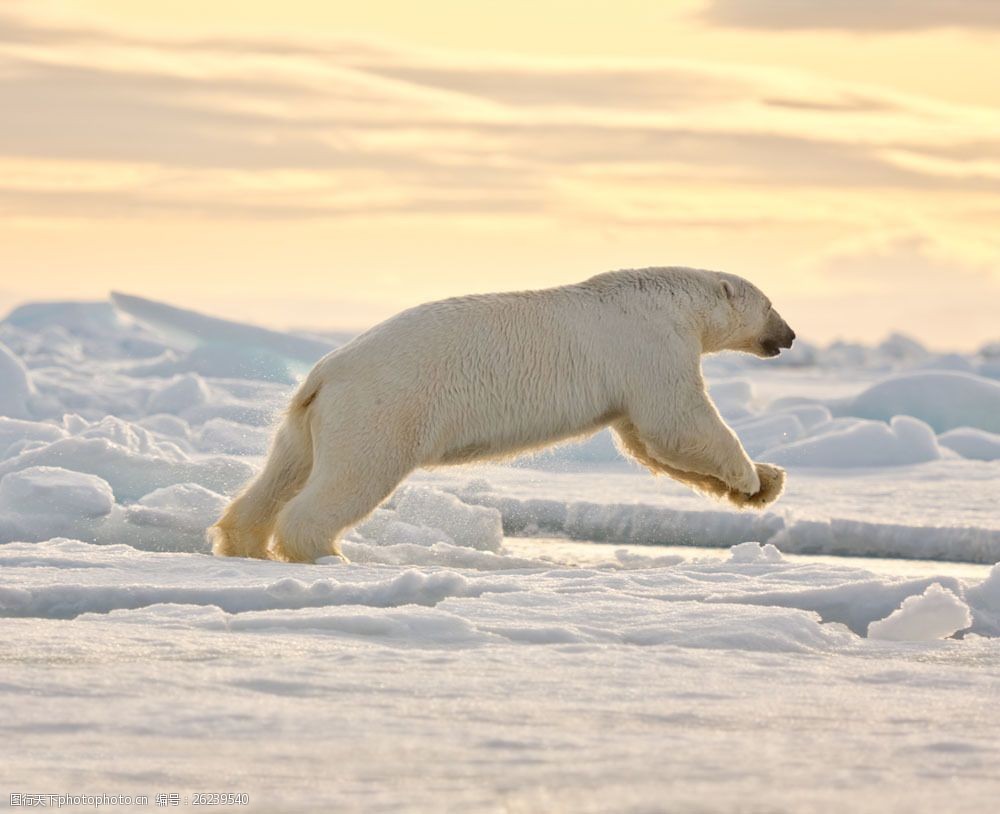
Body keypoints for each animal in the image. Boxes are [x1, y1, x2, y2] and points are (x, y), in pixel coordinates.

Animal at [211, 270, 796, 564]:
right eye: (770, 305)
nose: (790, 336)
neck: (674, 299)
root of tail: (323, 374)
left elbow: (648, 444)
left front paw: (765, 482)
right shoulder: (650, 344)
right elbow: (678, 421)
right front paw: (752, 477)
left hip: (306, 422)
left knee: (282, 472)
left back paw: (243, 542)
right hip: (382, 409)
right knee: (351, 479)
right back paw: (325, 553)